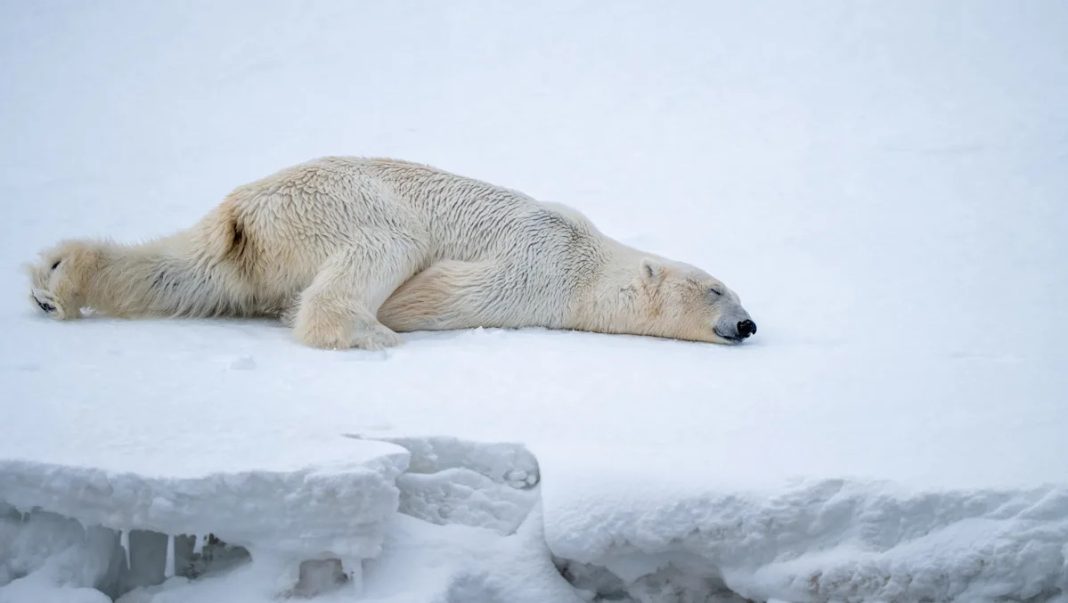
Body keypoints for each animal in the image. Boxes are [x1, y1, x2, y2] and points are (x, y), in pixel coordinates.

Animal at [27, 157, 756, 349]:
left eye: (739, 292)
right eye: (718, 288)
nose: (748, 325)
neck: (590, 258)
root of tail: (246, 210)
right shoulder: (540, 257)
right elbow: (448, 291)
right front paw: (404, 313)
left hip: (244, 247)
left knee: (182, 273)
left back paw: (56, 279)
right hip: (338, 204)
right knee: (384, 246)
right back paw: (367, 331)